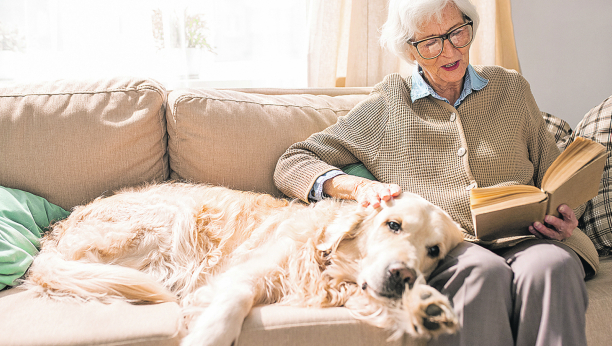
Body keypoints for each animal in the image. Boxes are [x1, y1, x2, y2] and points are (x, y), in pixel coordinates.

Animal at [23, 182, 464, 344]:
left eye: (434, 251)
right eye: (393, 224)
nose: (402, 274)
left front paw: (426, 308)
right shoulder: (248, 273)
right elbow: (231, 304)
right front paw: (207, 335)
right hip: (173, 218)